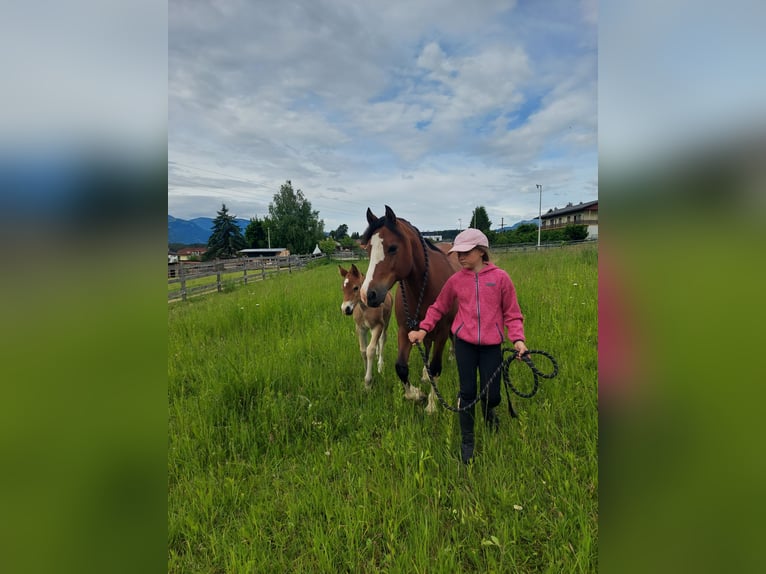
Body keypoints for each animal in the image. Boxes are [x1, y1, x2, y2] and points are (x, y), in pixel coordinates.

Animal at [360, 206, 461, 413]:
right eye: (368, 249)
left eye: (392, 248)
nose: (368, 294)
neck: (426, 285)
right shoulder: (405, 329)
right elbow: (401, 367)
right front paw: (415, 394)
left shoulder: (442, 331)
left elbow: (436, 367)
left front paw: (432, 405)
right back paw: (424, 375)